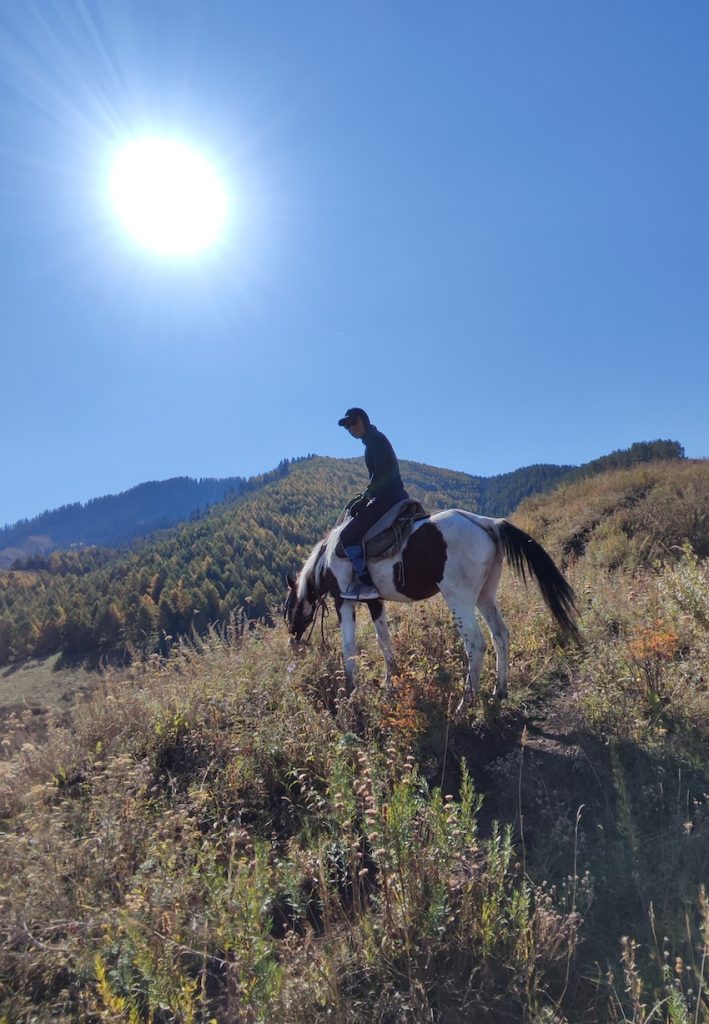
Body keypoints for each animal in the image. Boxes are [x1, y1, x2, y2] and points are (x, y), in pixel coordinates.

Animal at [280, 509, 577, 716]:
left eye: (287, 608)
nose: (292, 642)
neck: (326, 560)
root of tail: (487, 523)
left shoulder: (344, 602)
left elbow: (349, 647)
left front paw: (350, 691)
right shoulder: (375, 601)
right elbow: (383, 640)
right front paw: (391, 681)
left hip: (459, 598)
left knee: (476, 643)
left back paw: (465, 704)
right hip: (485, 595)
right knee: (500, 635)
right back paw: (499, 691)